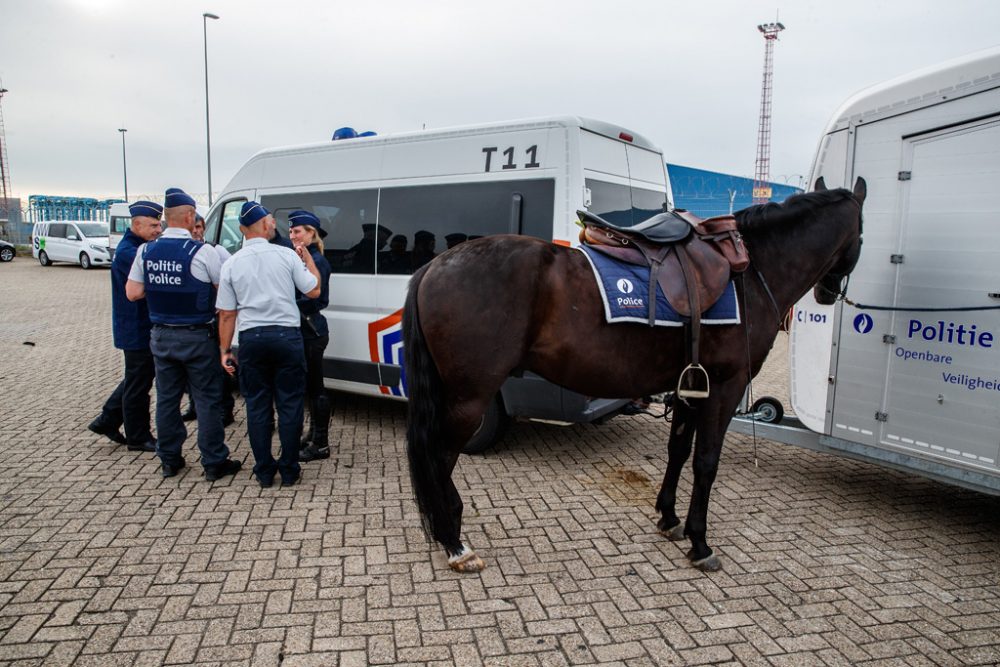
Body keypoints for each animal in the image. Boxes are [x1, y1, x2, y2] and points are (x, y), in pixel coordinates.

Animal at [402, 177, 864, 576]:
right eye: (862, 234)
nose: (828, 292)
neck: (749, 272)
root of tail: (435, 265)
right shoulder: (725, 386)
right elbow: (706, 461)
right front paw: (700, 543)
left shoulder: (690, 386)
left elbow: (678, 452)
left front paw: (670, 518)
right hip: (470, 397)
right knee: (440, 459)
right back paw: (455, 545)